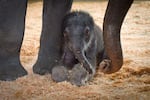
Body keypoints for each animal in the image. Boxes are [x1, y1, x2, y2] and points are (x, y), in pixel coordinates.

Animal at [0, 0, 134, 81]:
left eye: (87, 33)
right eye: (65, 34)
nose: (104, 66)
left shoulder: (93, 44)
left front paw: (46, 70)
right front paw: (12, 77)